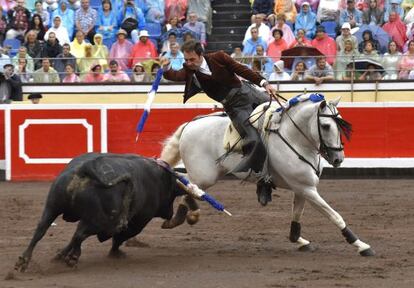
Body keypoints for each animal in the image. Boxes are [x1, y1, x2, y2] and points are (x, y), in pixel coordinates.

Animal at [14, 152, 186, 272]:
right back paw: (73, 258)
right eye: (173, 193)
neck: (158, 177)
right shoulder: (138, 222)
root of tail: (86, 168)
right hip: (102, 221)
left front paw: (59, 256)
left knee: (41, 229)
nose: (169, 213)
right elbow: (120, 238)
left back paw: (24, 260)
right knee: (80, 234)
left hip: (52, 206)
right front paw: (115, 254)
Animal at [158, 94, 376, 256]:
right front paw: (361, 245)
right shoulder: (307, 189)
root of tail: (190, 124)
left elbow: (296, 217)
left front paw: (300, 241)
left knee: (188, 188)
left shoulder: (303, 188)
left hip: (208, 175)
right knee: (185, 185)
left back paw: (183, 217)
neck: (294, 139)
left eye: (339, 125)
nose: (339, 158)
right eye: (326, 126)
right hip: (205, 175)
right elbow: (335, 215)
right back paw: (186, 215)